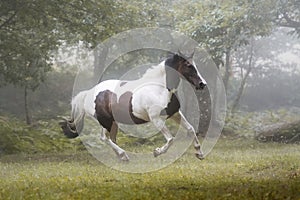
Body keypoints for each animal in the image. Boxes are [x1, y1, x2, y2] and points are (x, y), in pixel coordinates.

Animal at [60, 52, 207, 161]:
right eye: (188, 65)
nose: (202, 84)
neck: (158, 87)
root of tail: (89, 93)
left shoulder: (175, 114)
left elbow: (191, 129)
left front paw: (199, 153)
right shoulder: (156, 119)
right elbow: (171, 139)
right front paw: (157, 152)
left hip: (113, 122)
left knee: (111, 138)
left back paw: (121, 157)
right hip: (106, 121)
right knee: (104, 138)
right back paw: (123, 155)